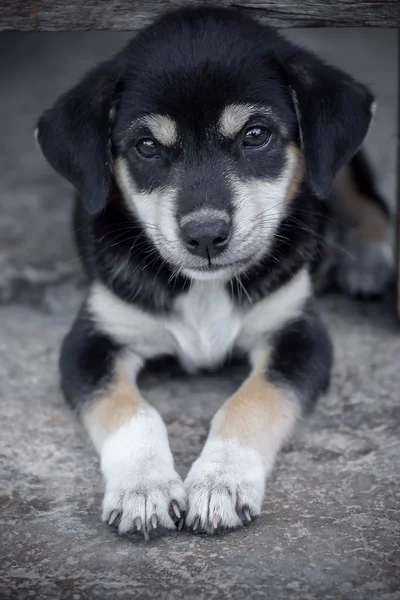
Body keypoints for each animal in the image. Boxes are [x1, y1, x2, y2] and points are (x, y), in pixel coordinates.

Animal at [36, 7, 376, 536]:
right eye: (147, 146)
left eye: (255, 134)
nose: (206, 236)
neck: (204, 288)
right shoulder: (92, 341)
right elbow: (131, 412)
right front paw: (143, 488)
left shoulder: (297, 334)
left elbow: (251, 401)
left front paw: (221, 482)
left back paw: (372, 255)